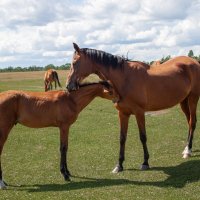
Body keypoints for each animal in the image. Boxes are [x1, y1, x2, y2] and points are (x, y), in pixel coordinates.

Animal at [67, 43, 200, 173]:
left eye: (75, 62)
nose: (68, 86)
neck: (125, 78)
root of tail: (194, 62)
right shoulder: (123, 113)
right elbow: (122, 138)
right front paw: (119, 165)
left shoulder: (139, 112)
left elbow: (143, 137)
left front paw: (145, 162)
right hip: (184, 101)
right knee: (189, 121)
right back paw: (187, 147)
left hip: (193, 98)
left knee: (192, 122)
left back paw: (188, 151)